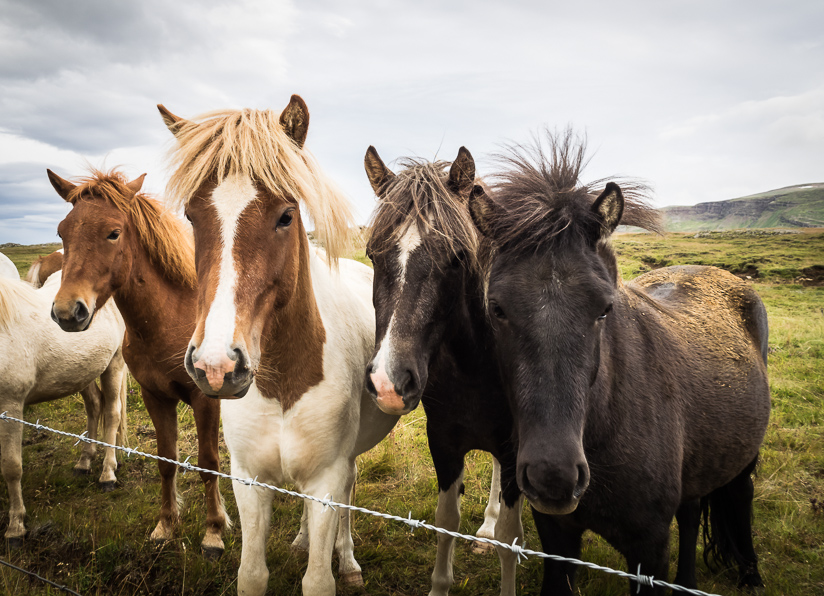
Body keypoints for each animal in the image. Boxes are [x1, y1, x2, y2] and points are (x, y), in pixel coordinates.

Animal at [0, 271, 127, 546]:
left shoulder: (10, 406)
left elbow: (11, 467)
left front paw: (16, 526)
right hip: (83, 370)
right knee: (94, 405)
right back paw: (84, 462)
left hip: (114, 363)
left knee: (112, 413)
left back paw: (107, 474)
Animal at [46, 168, 229, 558]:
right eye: (62, 232)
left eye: (114, 232)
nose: (68, 312)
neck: (174, 317)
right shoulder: (154, 396)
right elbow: (165, 460)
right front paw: (166, 525)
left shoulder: (205, 401)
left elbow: (208, 463)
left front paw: (213, 533)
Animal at [158, 95, 399, 595]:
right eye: (190, 216)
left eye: (286, 216)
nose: (216, 365)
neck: (285, 381)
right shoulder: (248, 481)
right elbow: (252, 574)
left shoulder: (326, 481)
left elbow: (319, 578)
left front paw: (337, 562)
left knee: (349, 493)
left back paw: (347, 560)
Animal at [363, 146, 524, 596]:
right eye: (371, 254)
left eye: (457, 258)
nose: (388, 383)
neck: (475, 367)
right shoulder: (443, 440)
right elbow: (446, 521)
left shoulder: (515, 446)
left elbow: (510, 539)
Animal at [467, 133, 770, 594]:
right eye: (496, 308)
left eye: (605, 308)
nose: (553, 475)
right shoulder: (557, 537)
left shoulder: (649, 547)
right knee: (692, 512)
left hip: (743, 459)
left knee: (740, 497)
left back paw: (751, 574)